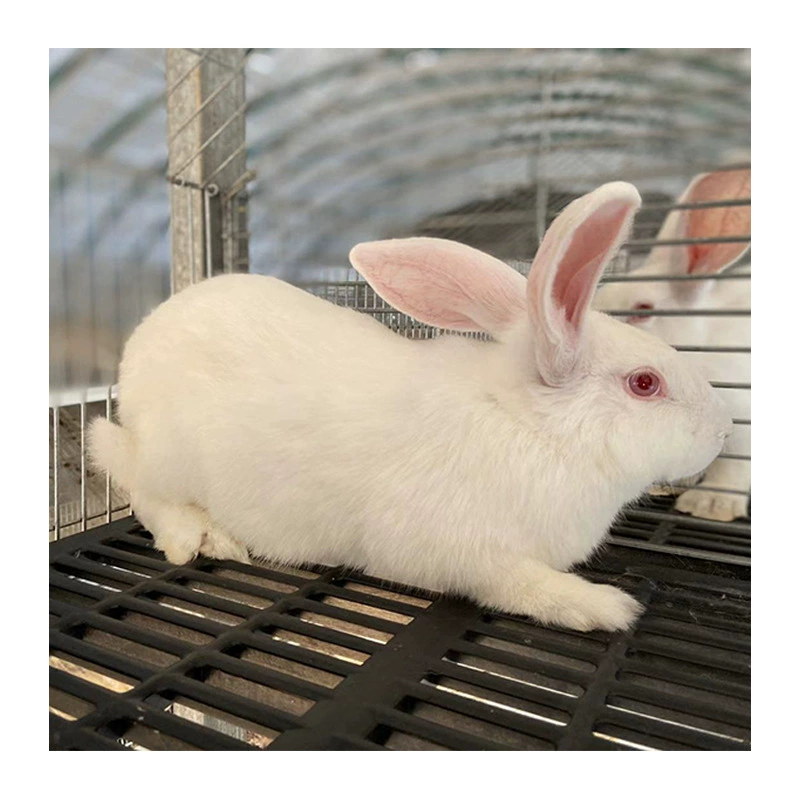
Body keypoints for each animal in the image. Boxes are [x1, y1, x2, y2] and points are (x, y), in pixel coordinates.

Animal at [90, 181, 731, 633]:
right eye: (645, 383)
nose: (723, 428)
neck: (528, 425)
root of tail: (137, 353)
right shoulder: (467, 553)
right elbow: (520, 585)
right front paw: (604, 607)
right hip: (169, 457)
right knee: (135, 483)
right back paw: (204, 538)